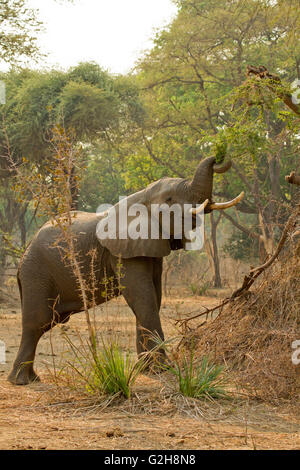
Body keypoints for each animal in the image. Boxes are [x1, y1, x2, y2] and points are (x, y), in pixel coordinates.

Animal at [8, 156, 244, 384]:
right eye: (169, 199)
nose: (219, 156)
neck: (141, 196)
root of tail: (24, 254)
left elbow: (153, 297)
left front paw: (146, 369)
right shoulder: (122, 252)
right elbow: (143, 297)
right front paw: (163, 369)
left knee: (47, 321)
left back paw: (30, 378)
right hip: (36, 272)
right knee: (37, 321)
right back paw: (21, 381)